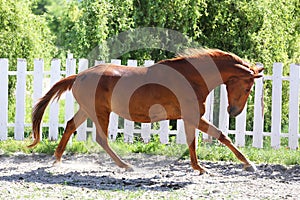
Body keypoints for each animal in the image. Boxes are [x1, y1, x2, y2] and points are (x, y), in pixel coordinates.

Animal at [28, 48, 262, 173]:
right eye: (248, 87)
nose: (233, 112)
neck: (192, 78)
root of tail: (78, 76)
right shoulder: (192, 116)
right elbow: (212, 137)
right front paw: (246, 164)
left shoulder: (190, 118)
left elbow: (206, 140)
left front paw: (202, 167)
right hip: (100, 111)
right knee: (101, 139)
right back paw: (125, 165)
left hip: (88, 110)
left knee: (69, 126)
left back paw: (57, 159)